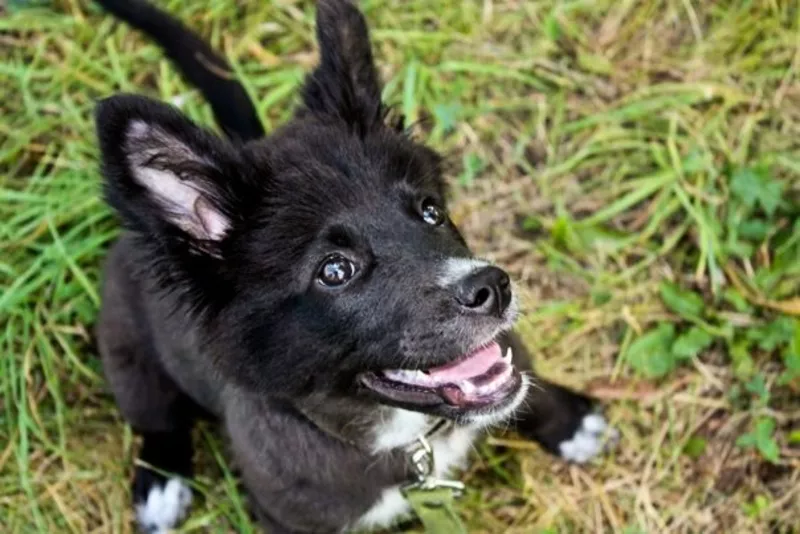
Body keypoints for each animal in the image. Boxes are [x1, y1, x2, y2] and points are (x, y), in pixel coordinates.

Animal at [92, 1, 612, 534]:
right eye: (335, 271)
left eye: (431, 211)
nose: (494, 286)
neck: (408, 436)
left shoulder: (507, 349)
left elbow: (528, 381)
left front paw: (570, 422)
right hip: (127, 354)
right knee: (157, 421)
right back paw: (161, 482)